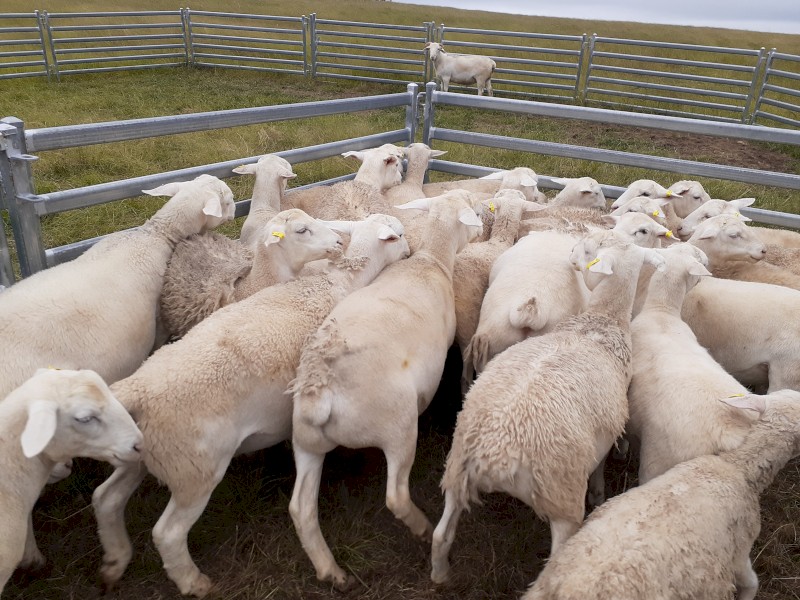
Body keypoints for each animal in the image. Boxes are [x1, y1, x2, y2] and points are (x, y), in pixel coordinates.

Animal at [288, 190, 484, 589]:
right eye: (473, 209)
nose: (483, 228)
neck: (431, 261)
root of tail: (321, 391)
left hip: (306, 442)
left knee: (300, 509)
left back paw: (331, 571)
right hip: (397, 426)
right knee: (395, 495)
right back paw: (421, 527)